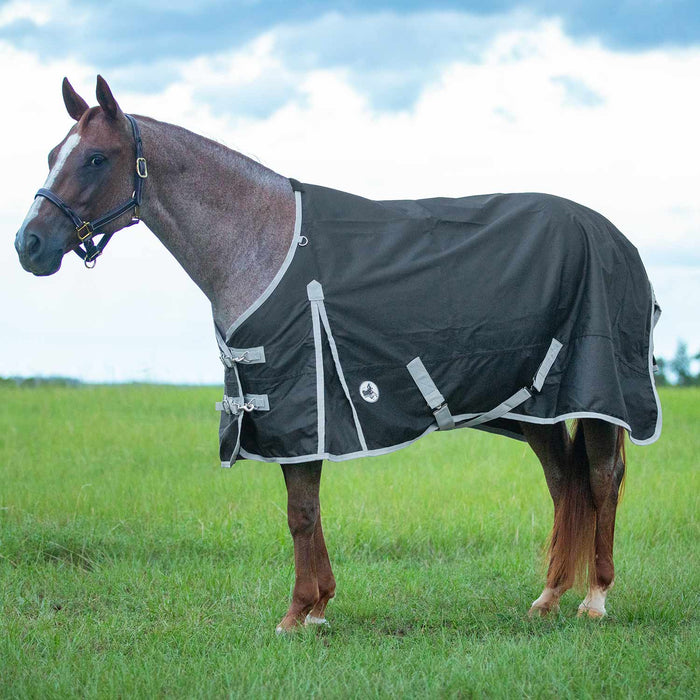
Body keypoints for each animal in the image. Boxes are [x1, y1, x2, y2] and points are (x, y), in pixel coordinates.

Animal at [14, 76, 660, 632]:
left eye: (96, 158)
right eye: (51, 154)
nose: (29, 244)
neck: (262, 242)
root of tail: (616, 238)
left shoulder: (297, 406)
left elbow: (300, 512)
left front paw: (296, 613)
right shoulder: (297, 417)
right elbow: (311, 510)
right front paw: (320, 606)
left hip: (598, 397)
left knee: (599, 479)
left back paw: (595, 599)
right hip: (536, 411)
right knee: (563, 483)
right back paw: (548, 598)